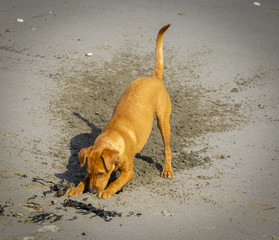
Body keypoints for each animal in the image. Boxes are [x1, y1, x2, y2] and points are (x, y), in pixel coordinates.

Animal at [66, 24, 174, 199]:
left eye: (101, 173)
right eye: (89, 172)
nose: (92, 192)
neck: (111, 139)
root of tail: (154, 78)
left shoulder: (129, 172)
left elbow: (116, 182)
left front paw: (107, 191)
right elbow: (83, 180)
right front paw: (77, 188)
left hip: (163, 121)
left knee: (167, 149)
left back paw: (167, 170)